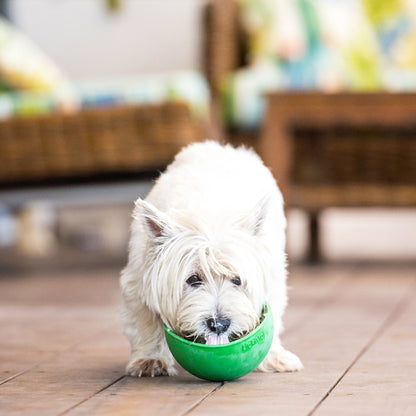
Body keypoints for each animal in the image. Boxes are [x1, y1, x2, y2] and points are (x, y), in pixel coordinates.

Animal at [120, 141, 302, 376]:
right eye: (193, 279)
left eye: (237, 280)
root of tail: (223, 147)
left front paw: (274, 355)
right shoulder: (138, 279)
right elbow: (146, 321)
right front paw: (150, 359)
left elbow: (274, 316)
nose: (219, 324)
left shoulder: (272, 278)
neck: (209, 217)